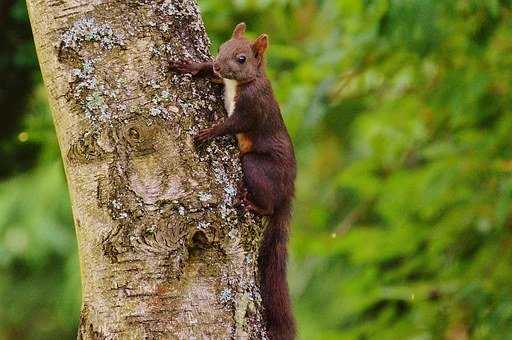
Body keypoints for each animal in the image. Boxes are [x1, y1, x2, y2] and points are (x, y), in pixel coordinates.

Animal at [170, 23, 298, 340]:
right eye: (220, 48)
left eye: (242, 59)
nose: (218, 64)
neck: (240, 83)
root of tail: (289, 190)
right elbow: (208, 74)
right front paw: (193, 65)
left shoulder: (251, 107)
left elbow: (233, 124)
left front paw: (208, 133)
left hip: (257, 167)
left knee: (267, 205)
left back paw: (253, 204)